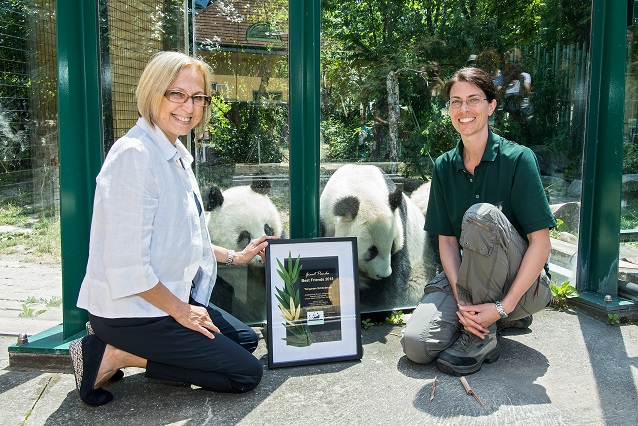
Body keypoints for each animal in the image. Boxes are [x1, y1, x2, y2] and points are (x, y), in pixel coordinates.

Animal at [320, 164, 430, 310]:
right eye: (371, 251)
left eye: (392, 246)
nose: (383, 275)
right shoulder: (324, 219)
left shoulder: (400, 220)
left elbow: (399, 266)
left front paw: (383, 303)